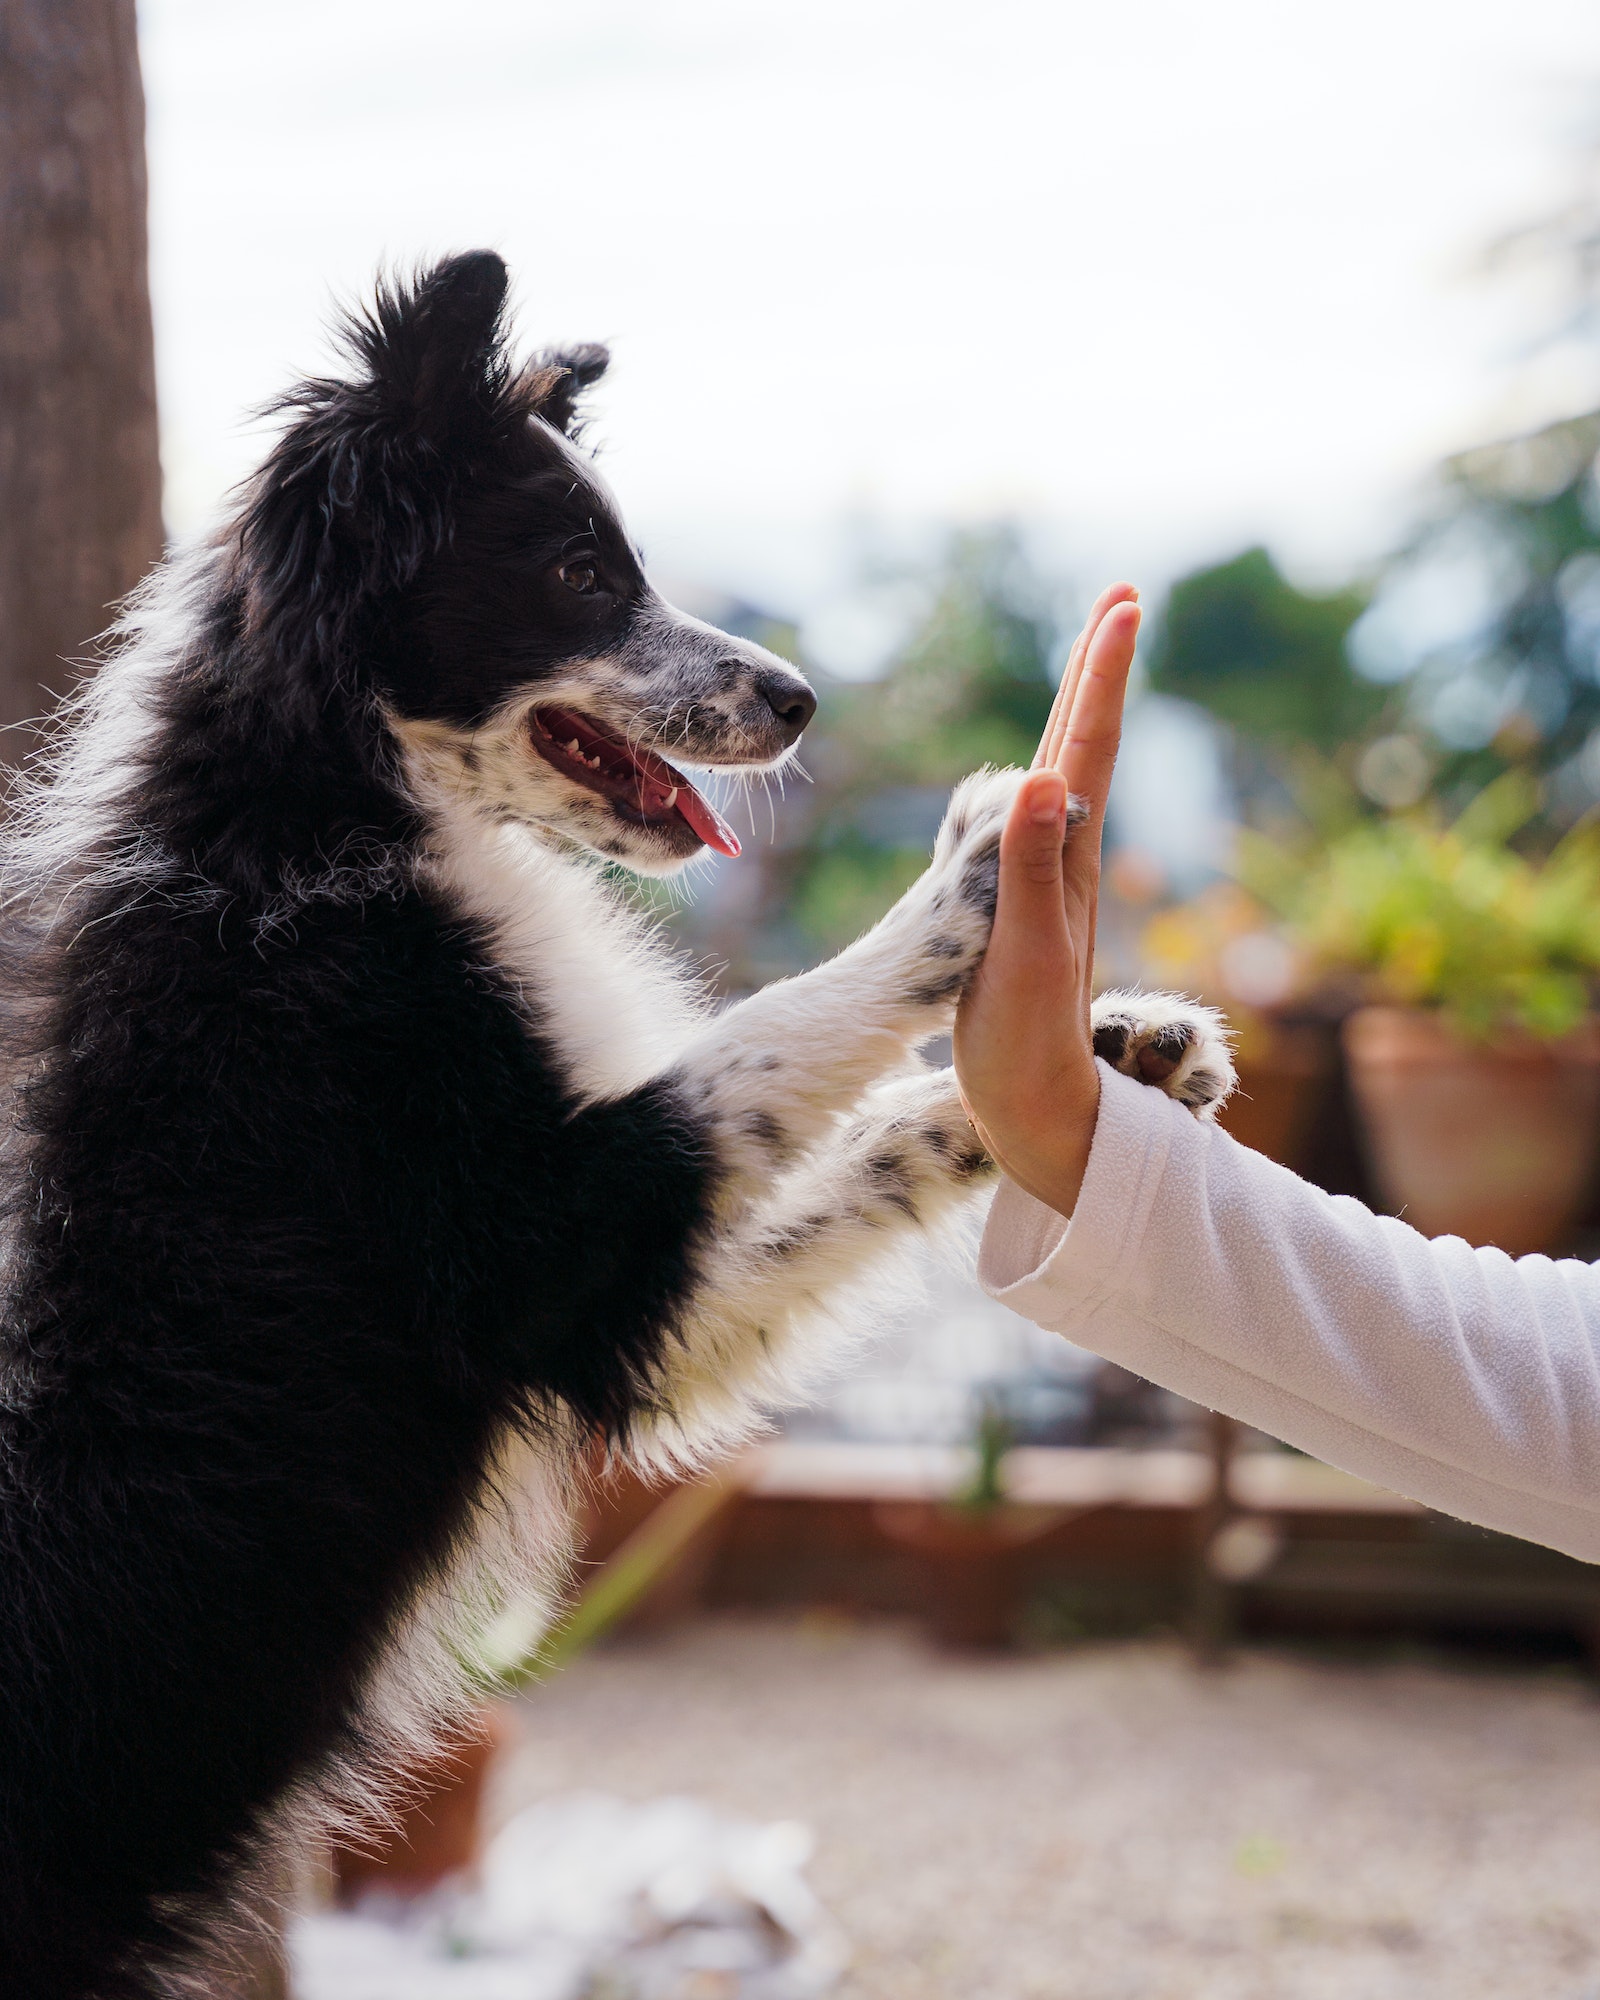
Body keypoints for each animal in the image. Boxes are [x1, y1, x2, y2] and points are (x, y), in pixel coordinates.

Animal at [0, 254, 1232, 2000]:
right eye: (580, 570)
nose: (800, 697)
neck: (328, 806)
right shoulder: (544, 1239)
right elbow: (770, 1038)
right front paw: (983, 872)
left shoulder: (624, 1308)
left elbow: (864, 1130)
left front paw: (1114, 1053)